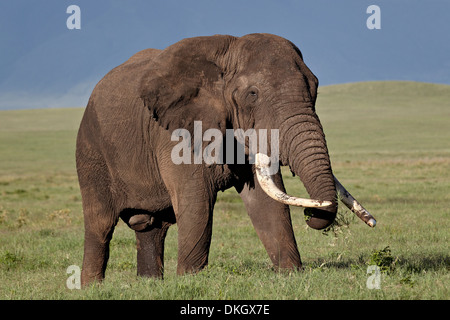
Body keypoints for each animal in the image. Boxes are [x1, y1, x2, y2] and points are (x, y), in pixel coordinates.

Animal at [75, 33, 374, 284]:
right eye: (252, 94)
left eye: (315, 88)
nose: (312, 214)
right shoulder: (177, 133)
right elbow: (196, 203)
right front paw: (190, 281)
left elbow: (266, 203)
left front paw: (290, 276)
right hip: (91, 151)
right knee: (100, 224)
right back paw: (92, 288)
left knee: (153, 228)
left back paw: (149, 285)